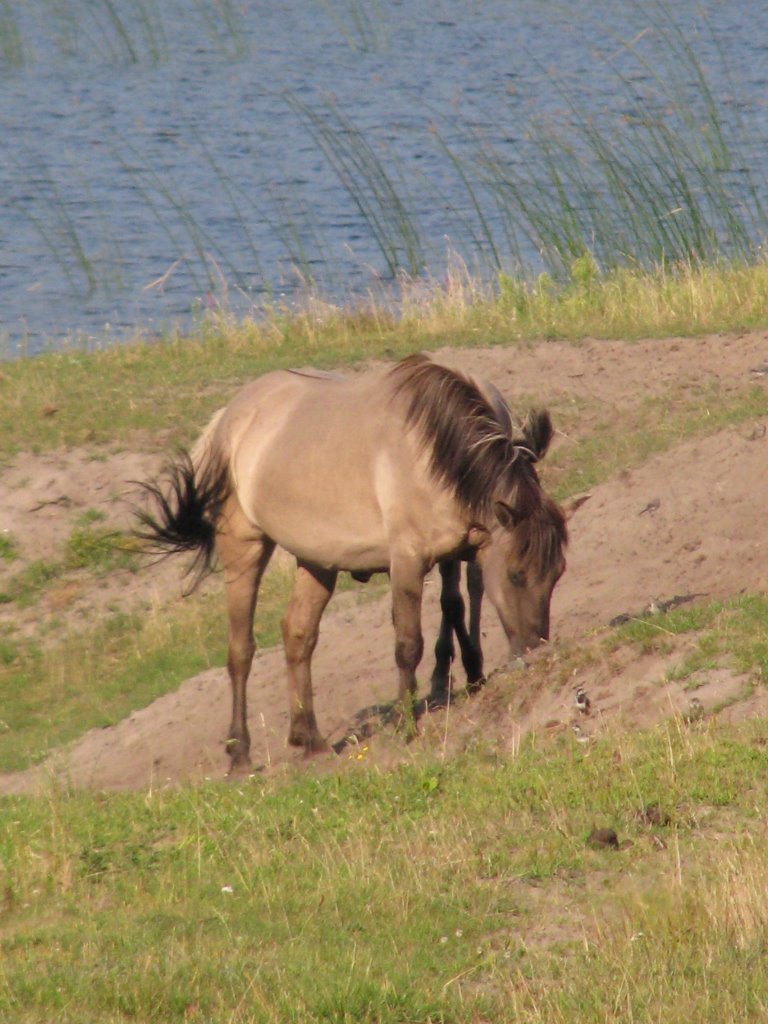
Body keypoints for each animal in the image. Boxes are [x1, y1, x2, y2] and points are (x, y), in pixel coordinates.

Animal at [137, 350, 573, 770]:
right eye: (516, 576)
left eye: (556, 576)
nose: (537, 649)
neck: (435, 444)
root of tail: (229, 418)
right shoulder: (408, 560)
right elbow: (408, 643)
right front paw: (405, 721)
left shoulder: (460, 546)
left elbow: (458, 604)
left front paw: (467, 673)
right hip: (244, 550)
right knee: (240, 651)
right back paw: (240, 753)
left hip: (317, 561)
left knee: (298, 634)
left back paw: (309, 739)